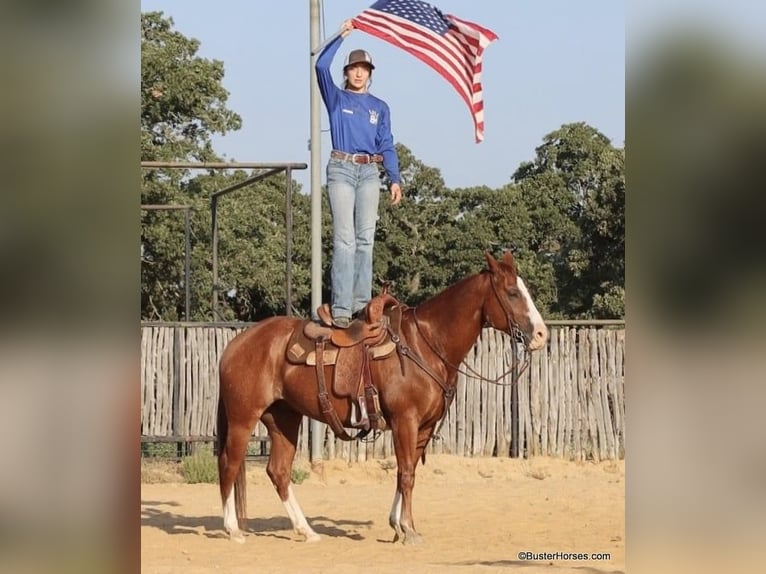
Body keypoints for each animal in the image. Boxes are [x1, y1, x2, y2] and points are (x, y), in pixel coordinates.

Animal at [216, 251, 548, 545]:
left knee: (279, 472)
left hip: (284, 419)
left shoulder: (424, 426)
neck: (425, 344)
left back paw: (306, 531)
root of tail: (236, 344)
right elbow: (406, 474)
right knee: (229, 464)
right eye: (512, 293)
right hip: (243, 418)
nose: (542, 334)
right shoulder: (405, 421)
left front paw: (399, 525)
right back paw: (233, 529)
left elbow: (406, 472)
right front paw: (408, 530)